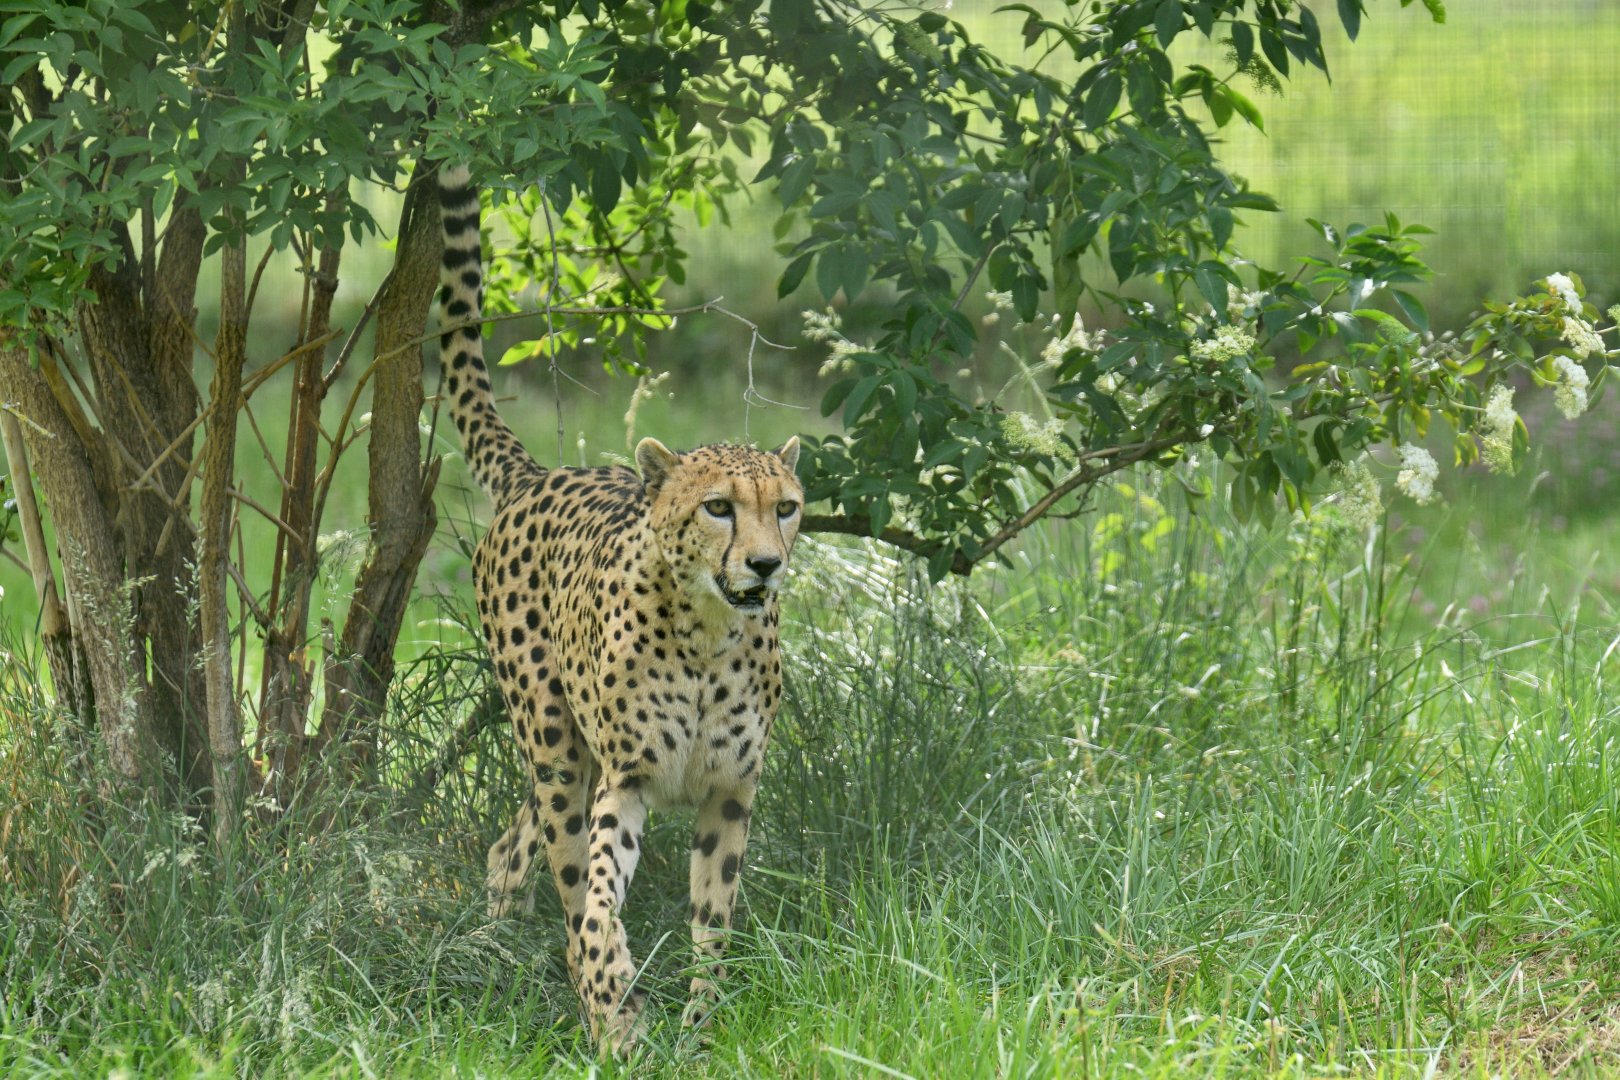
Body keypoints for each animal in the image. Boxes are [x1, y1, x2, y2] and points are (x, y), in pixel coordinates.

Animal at [434, 164, 804, 1053]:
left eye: (787, 508)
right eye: (717, 508)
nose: (766, 564)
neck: (707, 636)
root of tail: (540, 474)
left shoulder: (730, 790)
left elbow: (714, 920)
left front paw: (702, 1025)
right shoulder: (628, 780)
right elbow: (598, 900)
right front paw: (617, 998)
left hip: (567, 755)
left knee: (509, 844)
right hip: (556, 744)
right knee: (558, 861)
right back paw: (593, 1001)